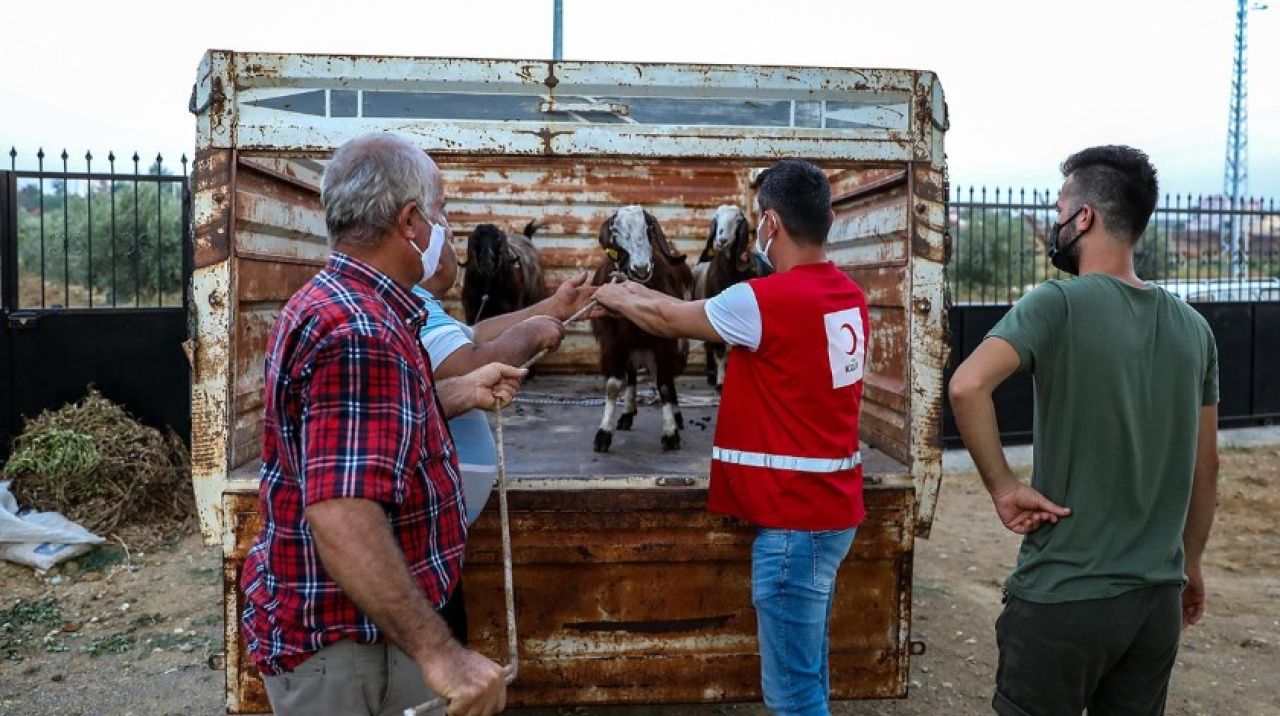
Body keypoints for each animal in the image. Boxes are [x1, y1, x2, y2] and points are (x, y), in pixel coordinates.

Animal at [588, 206, 691, 453]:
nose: (641, 269)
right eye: (615, 230)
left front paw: (670, 433)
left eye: (648, 229)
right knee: (632, 376)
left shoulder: (664, 342)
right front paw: (604, 433)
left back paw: (677, 416)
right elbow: (613, 385)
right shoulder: (613, 342)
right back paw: (627, 413)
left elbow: (664, 384)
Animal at [696, 204, 773, 389]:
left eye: (738, 220)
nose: (722, 239)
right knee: (708, 345)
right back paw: (711, 375)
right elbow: (720, 351)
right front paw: (720, 381)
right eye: (716, 218)